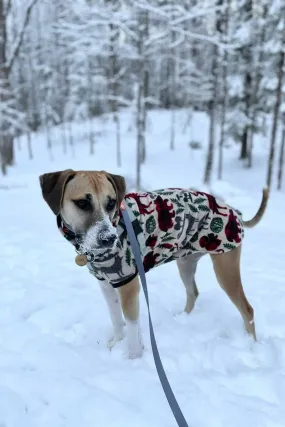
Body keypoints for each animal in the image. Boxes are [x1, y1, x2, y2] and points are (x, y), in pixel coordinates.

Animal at [38, 169, 268, 360]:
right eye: (82, 203)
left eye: (111, 203)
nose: (109, 239)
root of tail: (234, 211)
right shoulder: (106, 284)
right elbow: (116, 319)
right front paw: (116, 343)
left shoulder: (128, 286)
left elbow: (132, 326)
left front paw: (133, 359)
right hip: (185, 263)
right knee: (193, 292)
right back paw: (183, 319)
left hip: (225, 270)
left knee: (248, 310)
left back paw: (251, 346)